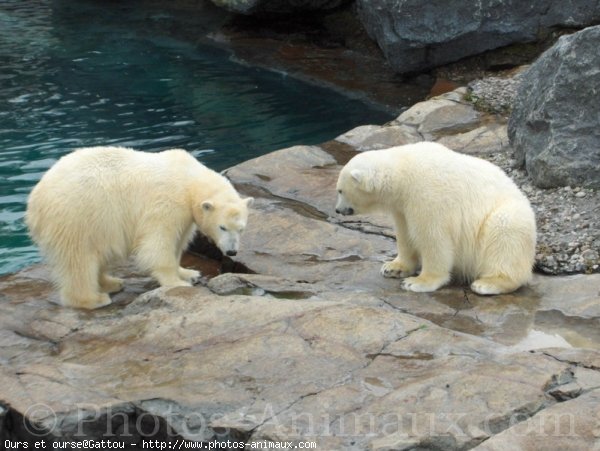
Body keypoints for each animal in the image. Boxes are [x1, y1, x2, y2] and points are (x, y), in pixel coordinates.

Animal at [27, 148, 252, 310]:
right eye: (222, 227)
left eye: (241, 229)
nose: (232, 251)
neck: (188, 178)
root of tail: (34, 201)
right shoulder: (166, 203)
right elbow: (158, 243)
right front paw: (177, 283)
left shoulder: (185, 213)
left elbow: (178, 241)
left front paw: (189, 273)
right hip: (77, 214)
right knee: (79, 259)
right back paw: (93, 299)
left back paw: (111, 282)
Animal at [336, 143, 536, 294]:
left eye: (340, 190)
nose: (338, 210)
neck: (403, 171)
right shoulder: (402, 206)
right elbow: (405, 234)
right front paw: (392, 267)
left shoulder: (428, 195)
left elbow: (433, 239)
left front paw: (417, 282)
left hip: (507, 219)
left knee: (504, 235)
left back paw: (487, 284)